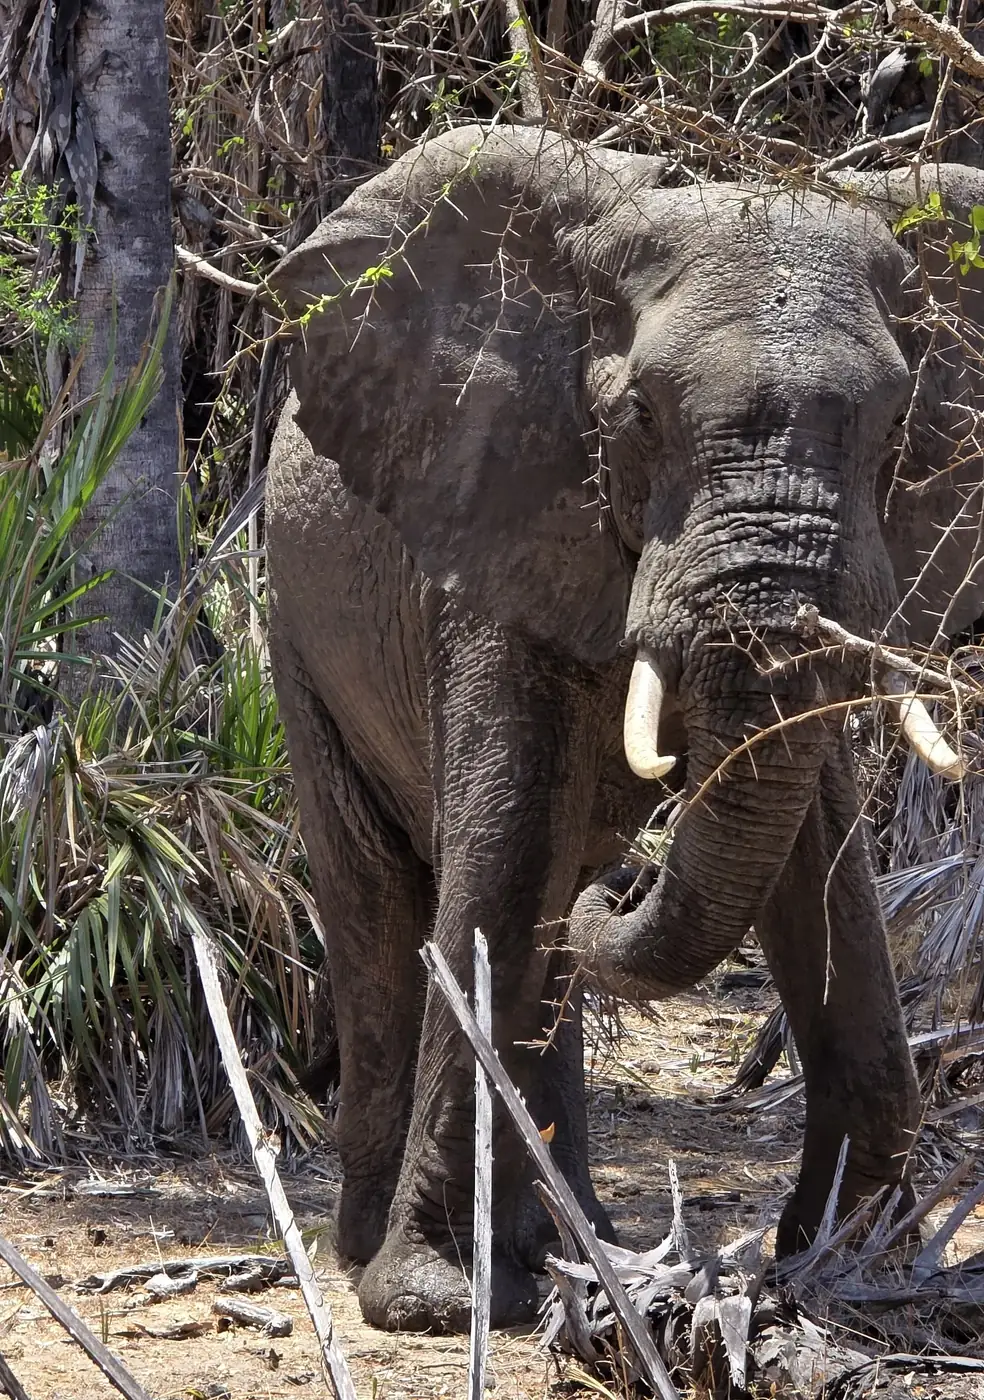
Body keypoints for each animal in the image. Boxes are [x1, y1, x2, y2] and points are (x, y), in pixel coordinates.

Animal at [265, 125, 984, 1333]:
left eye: (894, 423)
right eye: (641, 413)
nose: (626, 889)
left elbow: (821, 864)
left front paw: (855, 1265)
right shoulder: (499, 514)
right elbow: (507, 854)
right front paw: (432, 1301)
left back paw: (575, 1246)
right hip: (297, 628)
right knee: (385, 898)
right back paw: (392, 1249)